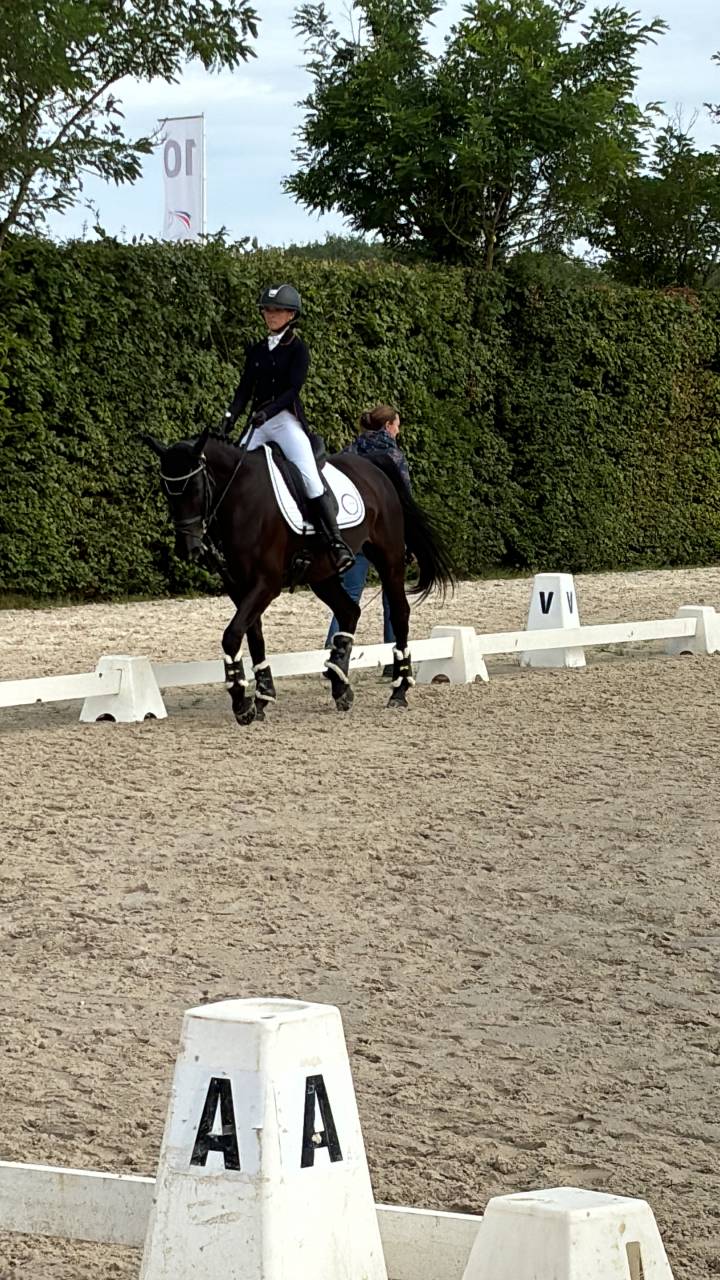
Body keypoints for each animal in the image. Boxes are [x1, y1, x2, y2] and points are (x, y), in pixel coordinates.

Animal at [143, 426, 455, 723]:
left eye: (195, 488)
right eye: (166, 490)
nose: (188, 549)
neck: (239, 497)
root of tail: (372, 467)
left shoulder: (266, 584)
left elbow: (232, 635)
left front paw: (241, 703)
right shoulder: (238, 586)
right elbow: (253, 636)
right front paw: (262, 698)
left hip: (388, 559)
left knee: (399, 614)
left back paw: (398, 691)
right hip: (322, 574)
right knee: (349, 611)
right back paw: (340, 686)